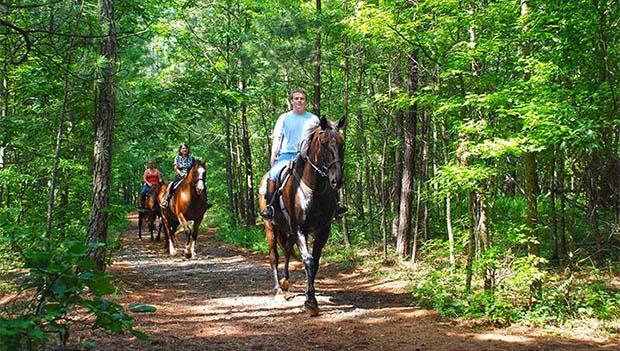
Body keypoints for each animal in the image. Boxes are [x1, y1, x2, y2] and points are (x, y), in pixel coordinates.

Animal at [256, 115, 344, 316]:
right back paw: (278, 291)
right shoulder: (300, 229)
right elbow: (308, 261)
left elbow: (315, 262)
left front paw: (310, 296)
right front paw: (310, 302)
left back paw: (285, 282)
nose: (337, 180)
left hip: (287, 230)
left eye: (342, 144)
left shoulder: (322, 230)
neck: (313, 189)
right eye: (324, 143)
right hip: (270, 226)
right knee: (274, 256)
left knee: (287, 250)